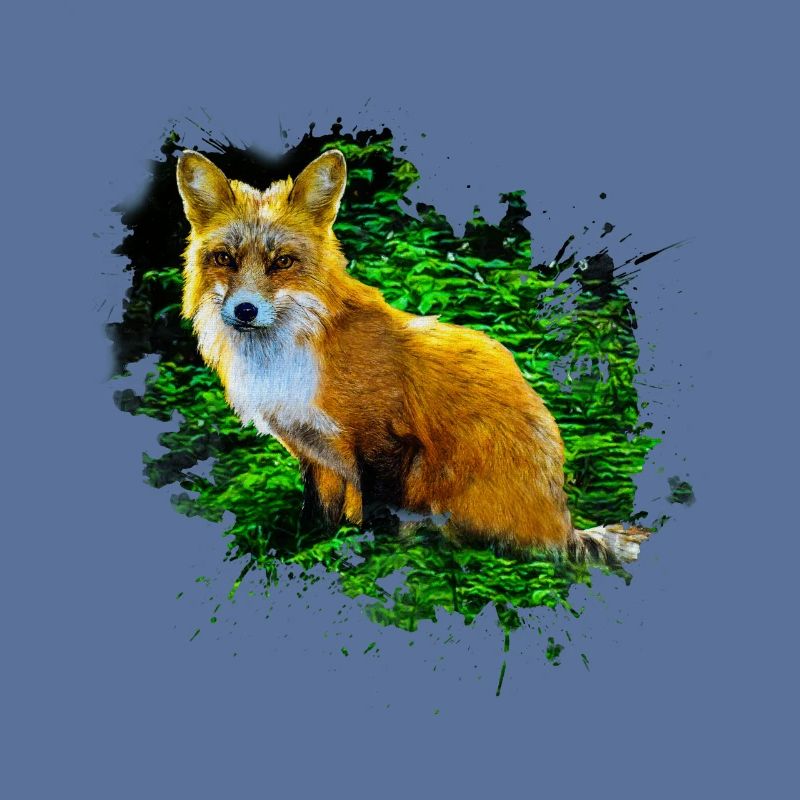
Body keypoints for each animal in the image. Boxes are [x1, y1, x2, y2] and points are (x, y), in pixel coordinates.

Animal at [175, 148, 648, 563]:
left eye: (283, 262)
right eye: (224, 258)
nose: (245, 310)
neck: (293, 354)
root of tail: (562, 524)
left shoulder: (387, 443)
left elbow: (379, 518)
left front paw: (369, 563)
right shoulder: (315, 454)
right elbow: (317, 518)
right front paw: (309, 553)